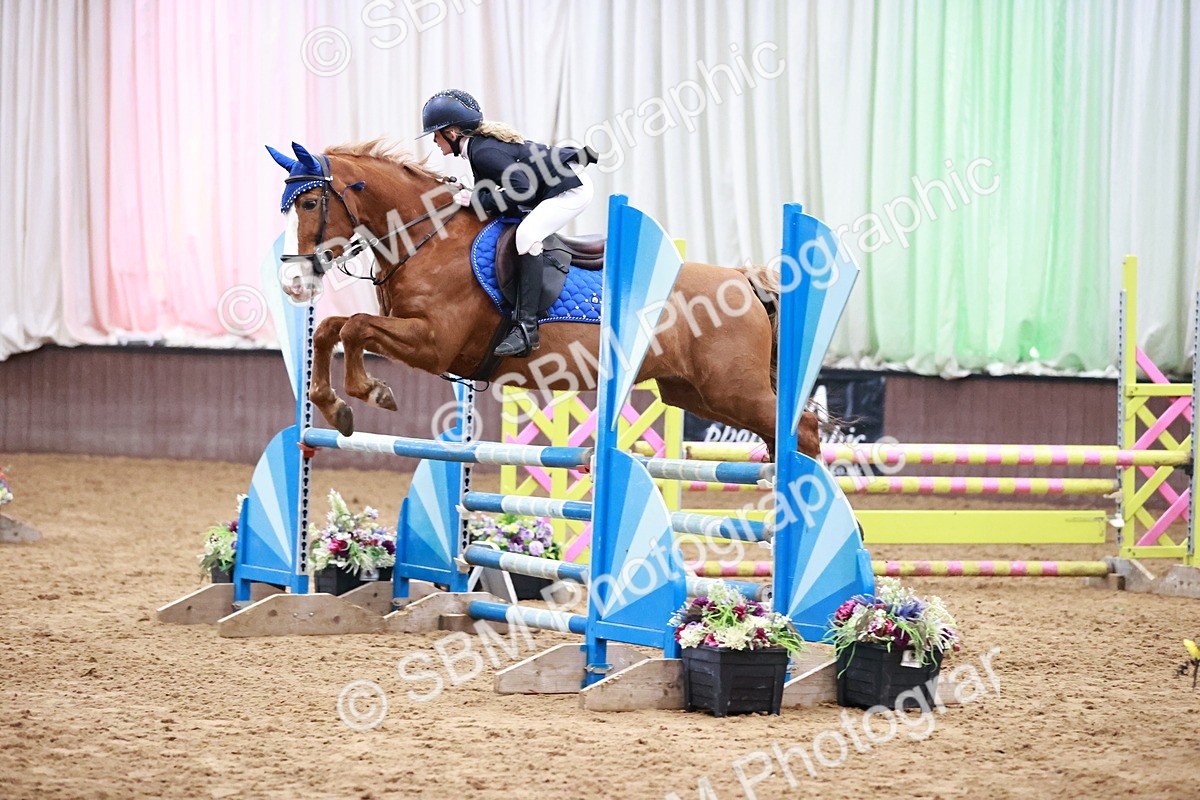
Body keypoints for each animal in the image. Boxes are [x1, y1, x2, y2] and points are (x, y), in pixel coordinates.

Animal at [267, 139, 820, 459]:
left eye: (311, 203)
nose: (293, 283)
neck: (427, 237)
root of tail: (742, 282)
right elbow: (330, 329)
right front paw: (334, 406)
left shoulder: (433, 344)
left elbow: (354, 326)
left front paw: (369, 392)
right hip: (695, 392)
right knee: (788, 432)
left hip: (733, 388)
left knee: (806, 430)